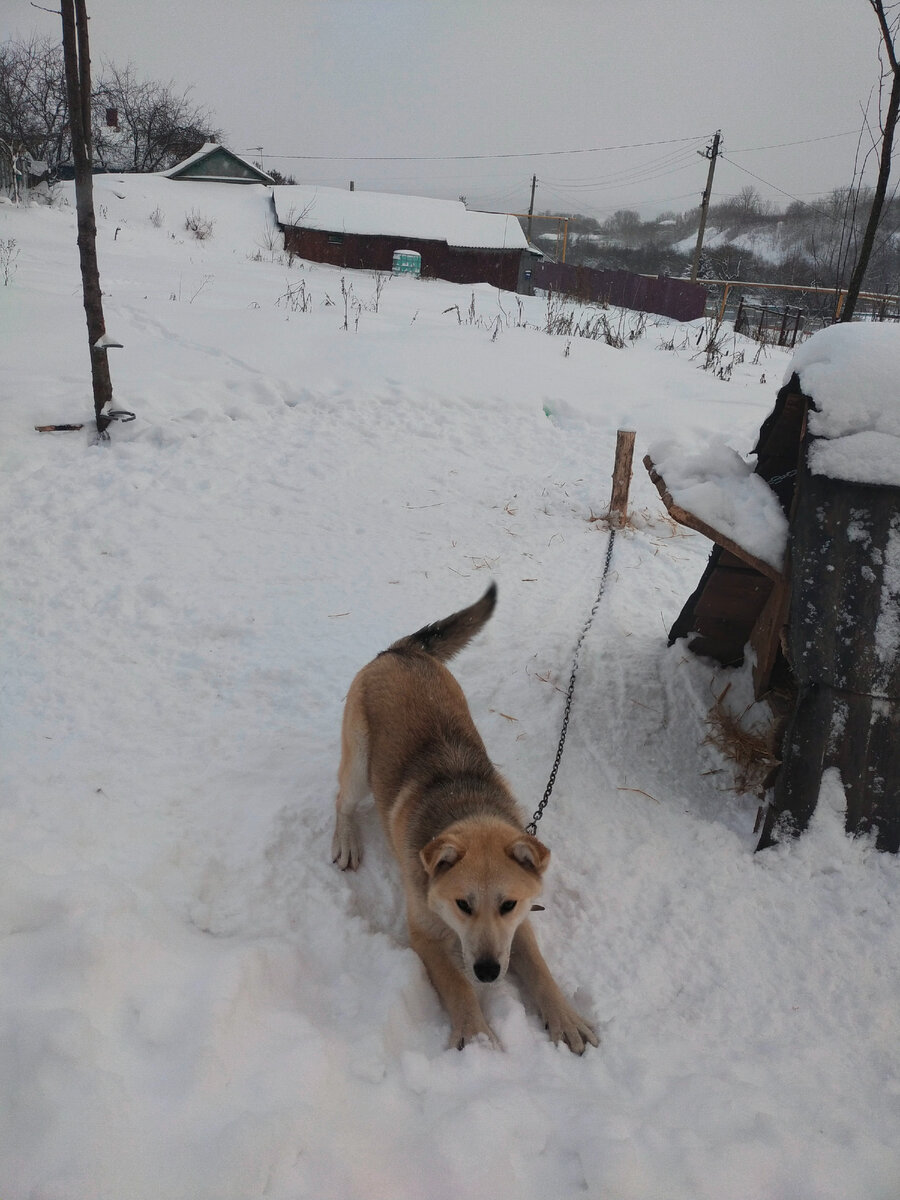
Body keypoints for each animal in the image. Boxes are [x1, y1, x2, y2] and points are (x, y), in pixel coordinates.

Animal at [331, 585, 600, 1056]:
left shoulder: (518, 928)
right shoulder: (425, 935)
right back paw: (347, 839)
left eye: (508, 905)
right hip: (360, 761)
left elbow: (541, 971)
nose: (490, 973)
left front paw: (565, 1018)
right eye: (463, 904)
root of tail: (402, 652)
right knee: (342, 798)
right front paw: (475, 1035)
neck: (467, 810)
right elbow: (457, 986)